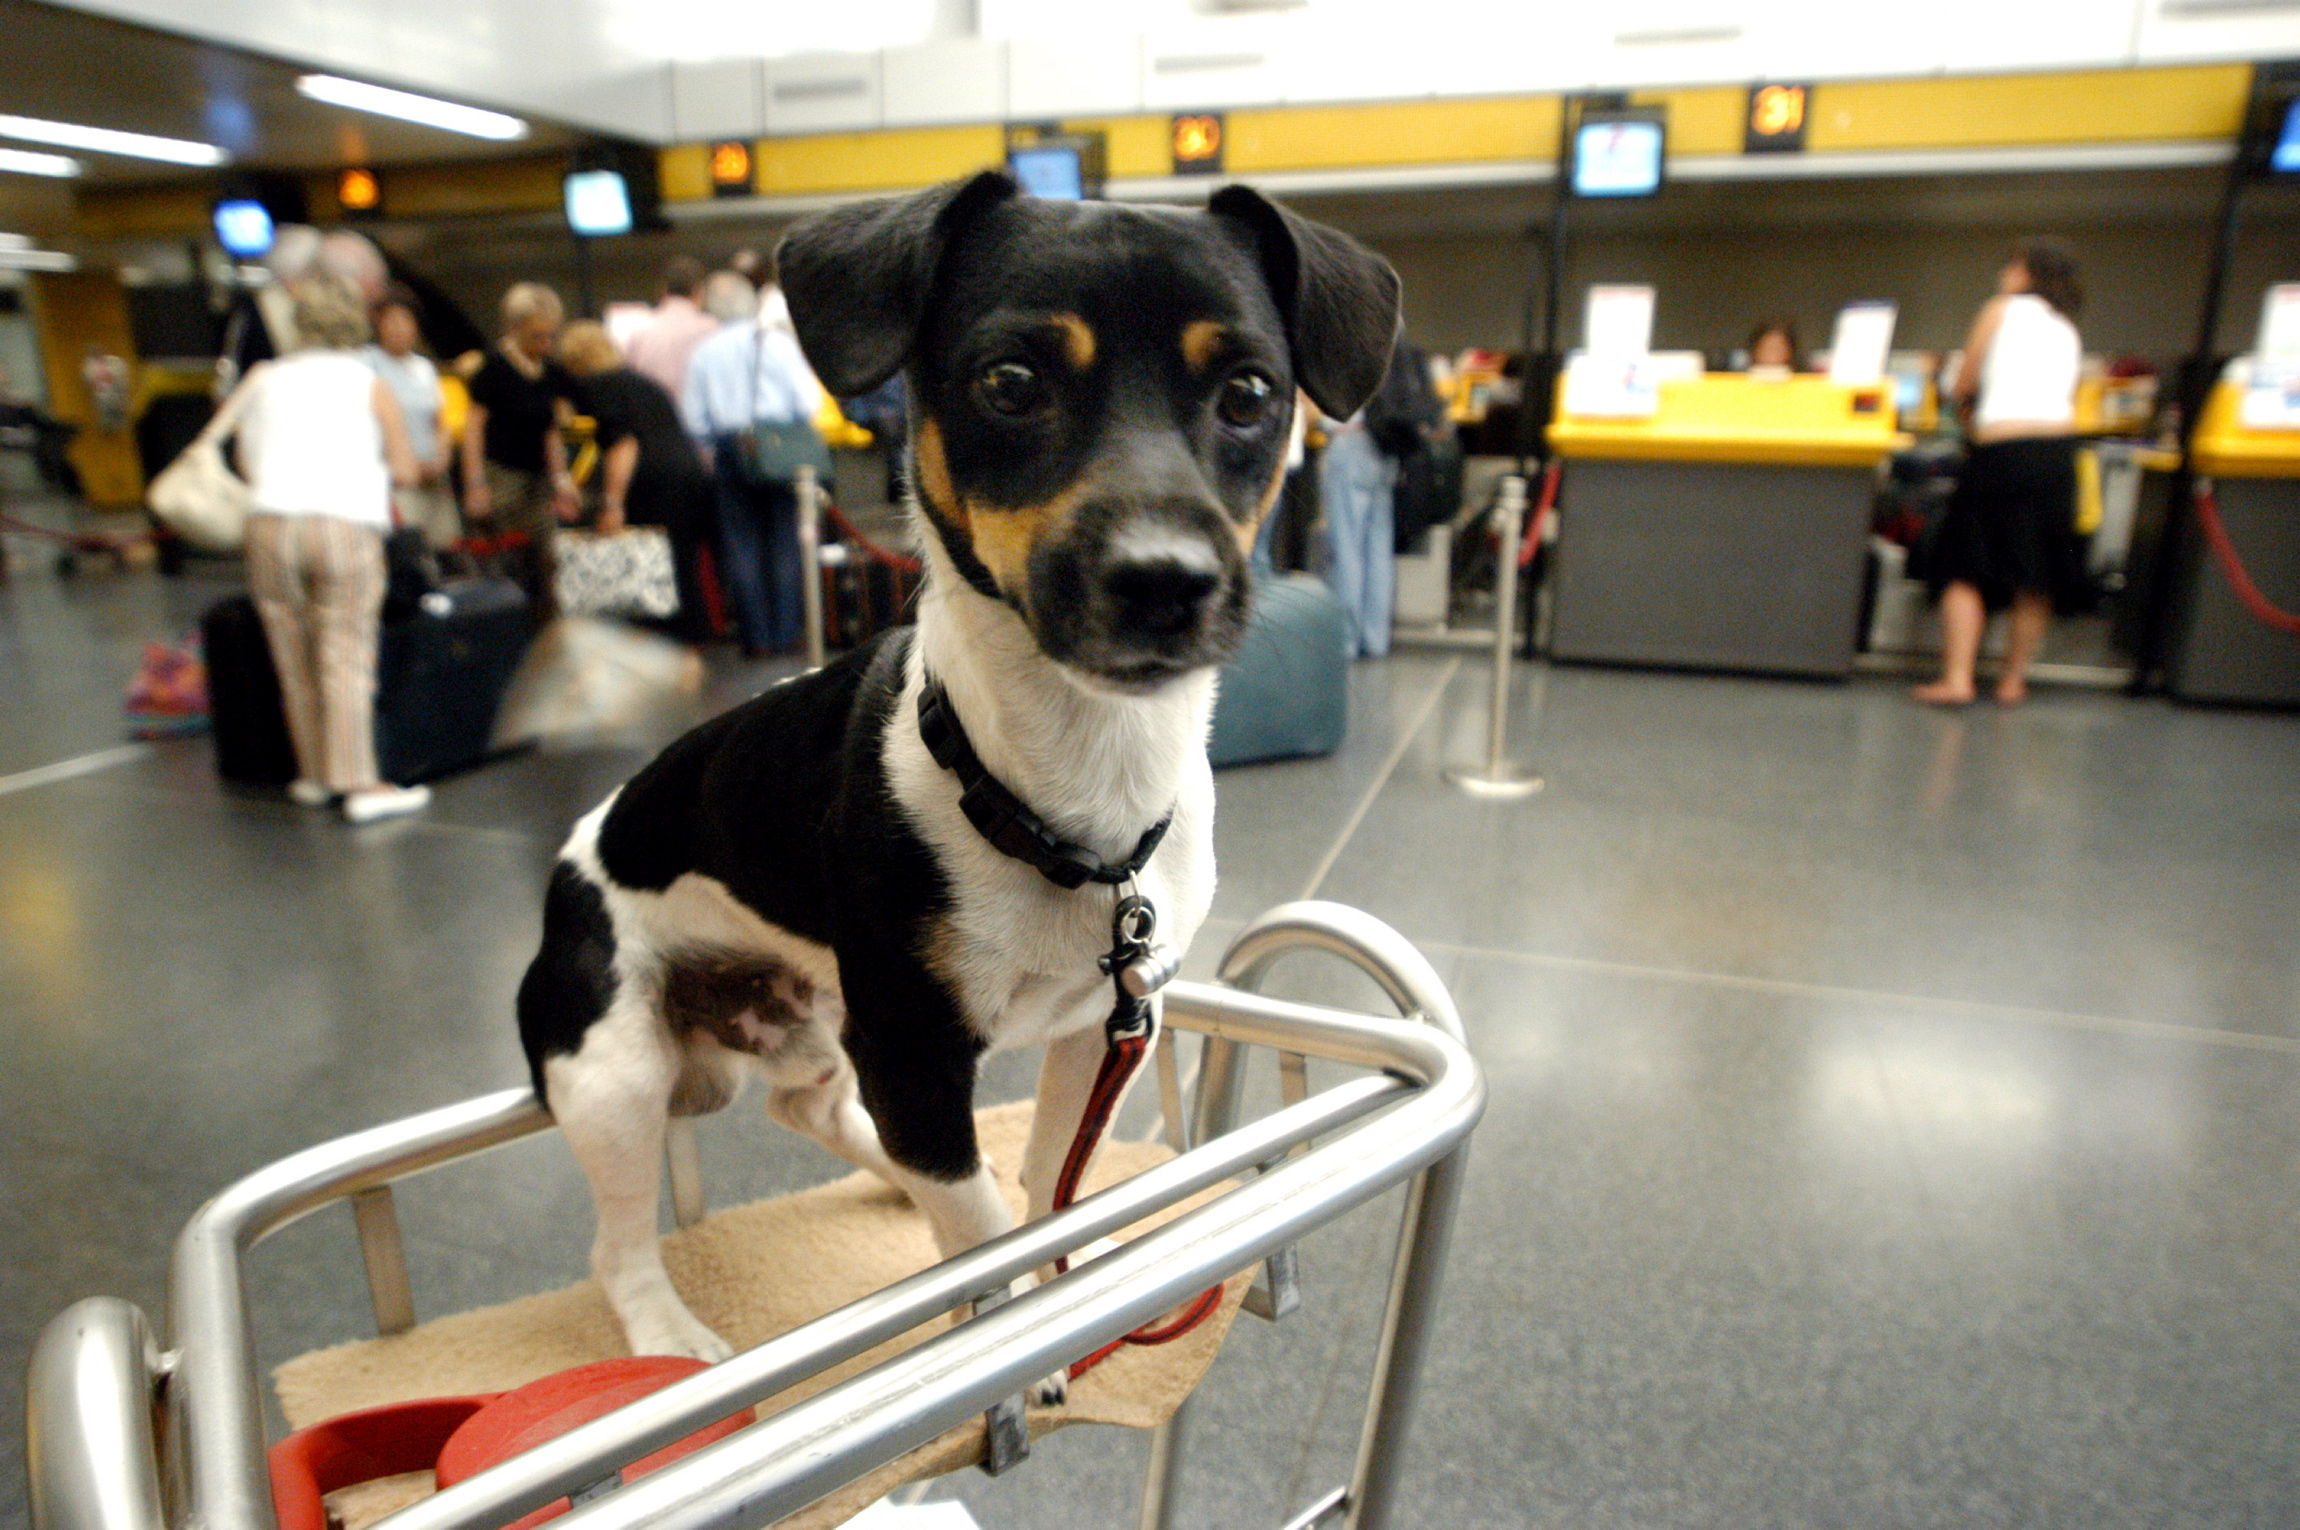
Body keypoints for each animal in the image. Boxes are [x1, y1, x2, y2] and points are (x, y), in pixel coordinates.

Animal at [512, 166, 1389, 1398]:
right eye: (1010, 382)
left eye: (1251, 391)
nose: (1163, 580)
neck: (1069, 801)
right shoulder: (917, 1054)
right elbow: (979, 1226)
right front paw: (1010, 1349)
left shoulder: (1105, 1028)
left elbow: (1042, 1187)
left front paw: (1061, 1281)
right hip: (615, 1068)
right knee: (621, 1242)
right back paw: (672, 1335)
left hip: (807, 1020)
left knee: (813, 1104)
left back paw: (882, 1176)